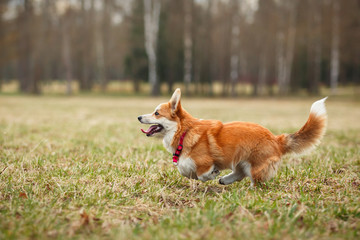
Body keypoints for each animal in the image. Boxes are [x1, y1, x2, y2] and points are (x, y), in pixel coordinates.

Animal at [137, 88, 326, 186]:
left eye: (156, 113)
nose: (139, 117)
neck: (184, 131)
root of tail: (277, 139)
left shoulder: (204, 162)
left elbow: (202, 174)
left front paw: (212, 174)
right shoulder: (186, 163)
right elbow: (185, 171)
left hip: (255, 166)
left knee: (255, 181)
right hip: (242, 161)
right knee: (240, 173)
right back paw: (225, 180)